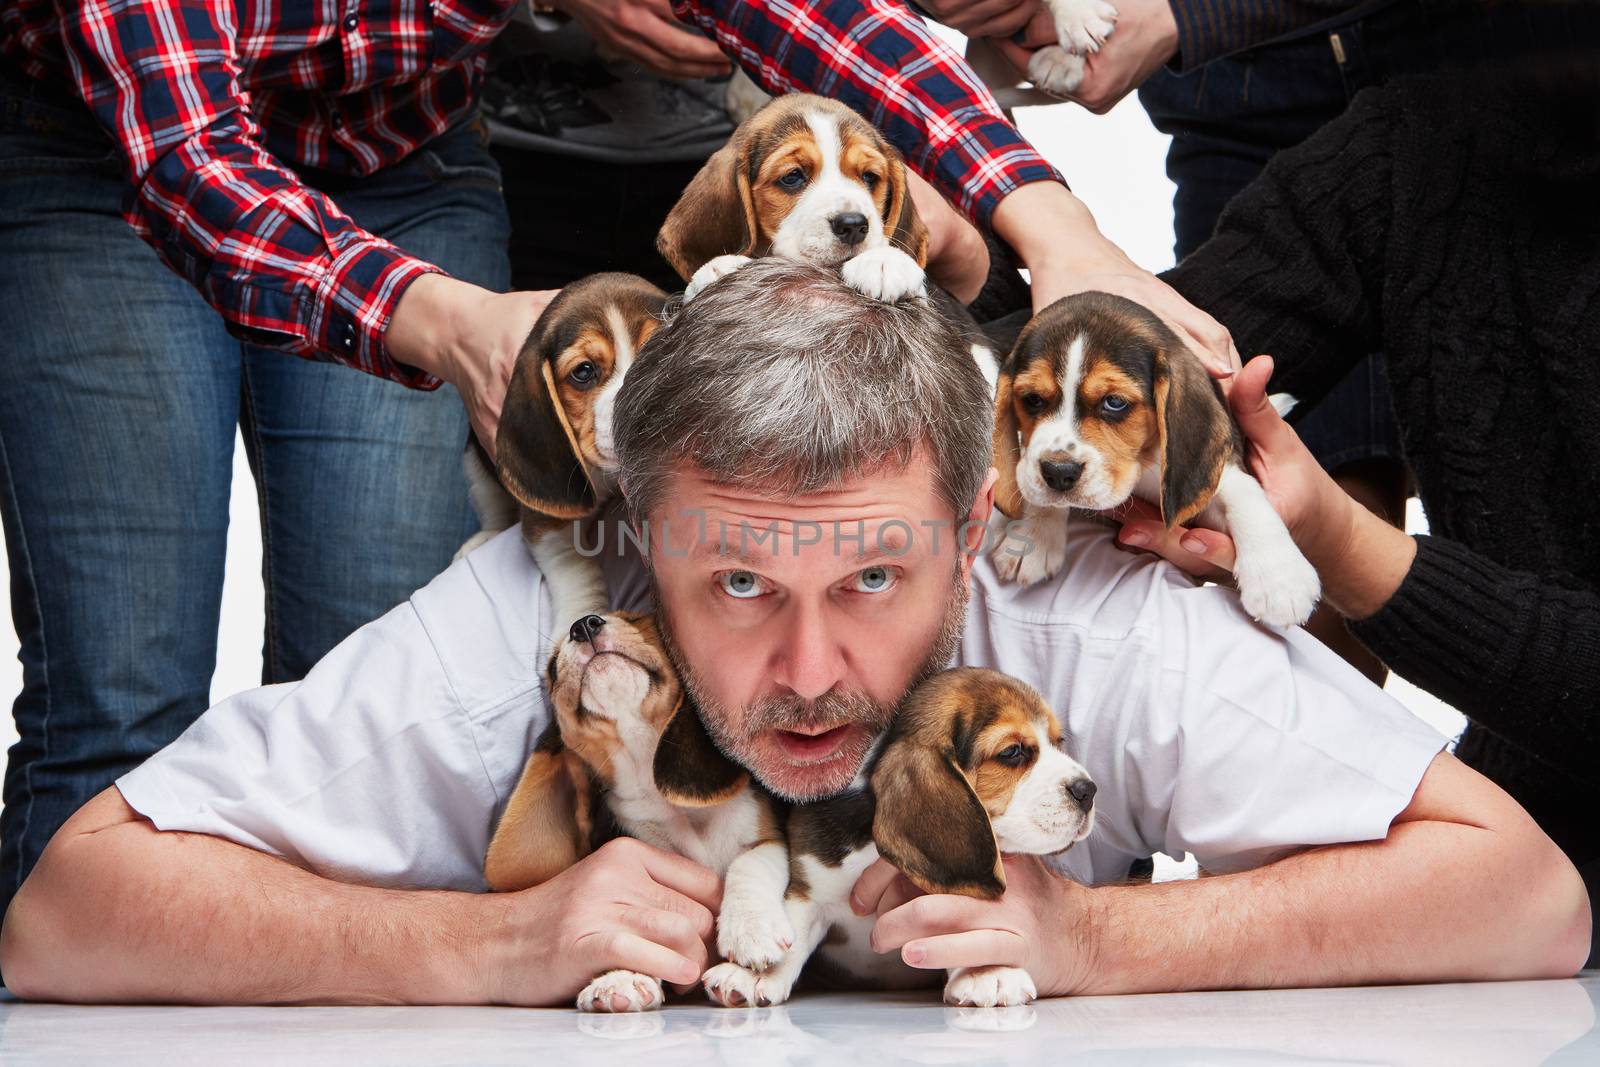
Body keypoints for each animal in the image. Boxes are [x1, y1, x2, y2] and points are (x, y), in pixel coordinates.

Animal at [480, 614, 793, 1017]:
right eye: (551, 669)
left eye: (638, 619)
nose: (583, 624)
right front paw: (621, 976)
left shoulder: (770, 835)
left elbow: (749, 862)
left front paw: (751, 931)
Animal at [704, 668, 1100, 1011]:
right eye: (1013, 752)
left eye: (1058, 742)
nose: (1088, 790)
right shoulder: (811, 884)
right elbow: (797, 927)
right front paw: (754, 974)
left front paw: (988, 970)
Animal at [992, 287, 1318, 630]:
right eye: (1032, 399)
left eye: (1114, 402)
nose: (1058, 472)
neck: (1142, 467)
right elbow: (1032, 473)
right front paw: (1034, 536)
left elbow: (1243, 493)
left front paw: (1279, 576)